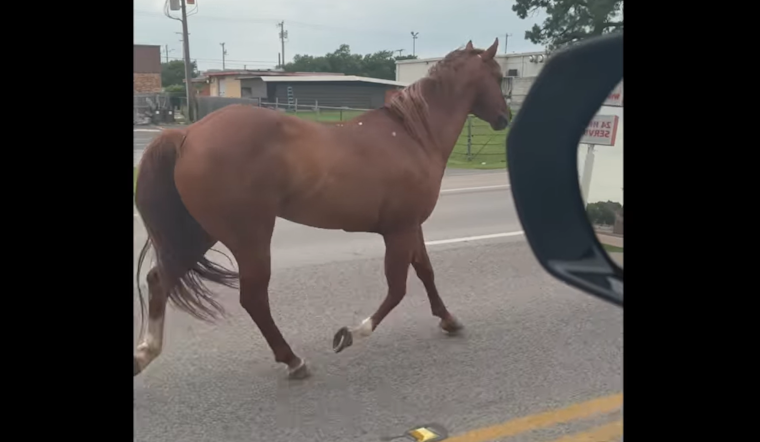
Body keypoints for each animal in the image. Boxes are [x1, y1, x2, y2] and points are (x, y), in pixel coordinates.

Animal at [133, 39, 509, 379]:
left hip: (201, 233)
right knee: (252, 298)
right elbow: (398, 288)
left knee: (159, 280)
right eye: (499, 75)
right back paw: (292, 360)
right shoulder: (400, 230)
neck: (410, 136)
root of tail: (186, 135)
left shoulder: (410, 226)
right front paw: (352, 333)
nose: (504, 118)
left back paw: (145, 352)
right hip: (248, 238)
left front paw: (449, 319)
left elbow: (426, 273)